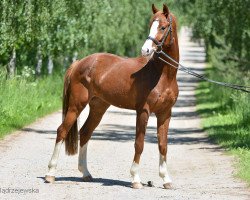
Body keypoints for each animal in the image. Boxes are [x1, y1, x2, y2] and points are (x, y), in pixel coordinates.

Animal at [45, 4, 178, 189]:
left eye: (163, 27)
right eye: (150, 24)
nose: (145, 50)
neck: (162, 76)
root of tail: (79, 63)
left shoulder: (165, 113)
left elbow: (163, 145)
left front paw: (166, 180)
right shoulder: (143, 111)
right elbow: (139, 144)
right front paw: (135, 179)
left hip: (98, 107)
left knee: (85, 133)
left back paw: (85, 173)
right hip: (76, 106)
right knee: (62, 131)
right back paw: (50, 174)